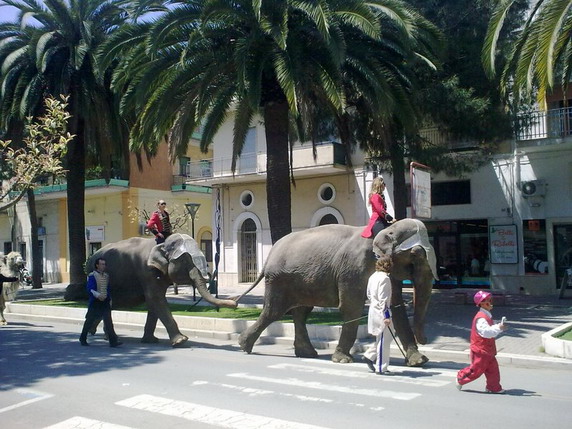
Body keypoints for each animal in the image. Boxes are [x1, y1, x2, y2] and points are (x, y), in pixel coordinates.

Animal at [81, 232, 236, 346]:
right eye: (185, 260)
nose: (235, 304)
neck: (162, 243)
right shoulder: (146, 271)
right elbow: (155, 299)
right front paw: (181, 341)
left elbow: (154, 302)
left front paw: (150, 341)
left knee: (107, 307)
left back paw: (100, 335)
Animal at [237, 219, 438, 366]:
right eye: (415, 254)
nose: (426, 340)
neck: (386, 229)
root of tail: (270, 254)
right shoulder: (353, 269)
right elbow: (351, 307)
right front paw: (343, 360)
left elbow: (396, 307)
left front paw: (419, 361)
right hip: (279, 280)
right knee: (274, 311)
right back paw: (244, 346)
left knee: (301, 312)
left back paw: (307, 354)